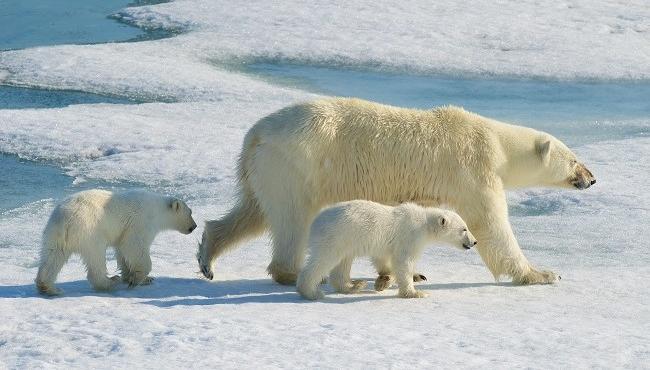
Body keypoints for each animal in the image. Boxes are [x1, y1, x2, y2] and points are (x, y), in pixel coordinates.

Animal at [196, 97, 592, 284]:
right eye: (574, 159)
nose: (591, 177)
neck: (495, 142)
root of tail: (255, 135)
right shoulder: (473, 171)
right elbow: (492, 226)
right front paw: (542, 274)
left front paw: (408, 272)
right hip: (296, 164)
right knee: (292, 219)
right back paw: (291, 272)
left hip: (265, 170)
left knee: (253, 211)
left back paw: (208, 256)